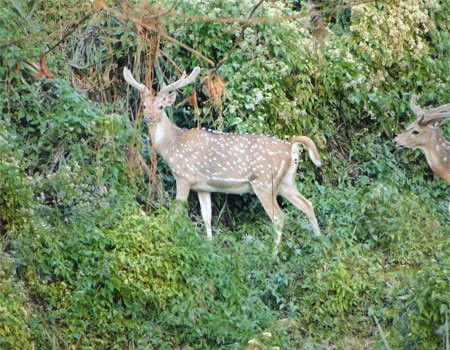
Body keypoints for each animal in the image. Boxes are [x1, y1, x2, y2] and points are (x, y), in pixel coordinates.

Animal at [122, 65, 320, 246]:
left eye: (161, 106)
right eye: (144, 105)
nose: (148, 117)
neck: (172, 146)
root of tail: (291, 147)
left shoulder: (184, 176)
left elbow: (177, 212)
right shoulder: (203, 186)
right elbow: (207, 216)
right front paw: (210, 245)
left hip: (264, 182)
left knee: (279, 217)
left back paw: (273, 254)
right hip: (286, 182)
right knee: (307, 204)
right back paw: (319, 240)